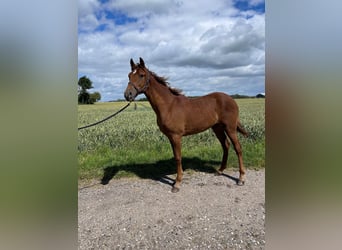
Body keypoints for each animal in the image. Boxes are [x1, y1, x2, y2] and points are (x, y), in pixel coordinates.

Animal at [124, 58, 247, 193]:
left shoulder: (176, 136)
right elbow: (175, 157)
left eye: (141, 75)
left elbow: (178, 157)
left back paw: (241, 178)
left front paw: (177, 184)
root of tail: (231, 99)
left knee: (238, 148)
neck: (169, 105)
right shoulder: (170, 137)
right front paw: (176, 180)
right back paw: (220, 171)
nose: (128, 95)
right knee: (226, 145)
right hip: (217, 128)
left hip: (230, 128)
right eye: (129, 75)